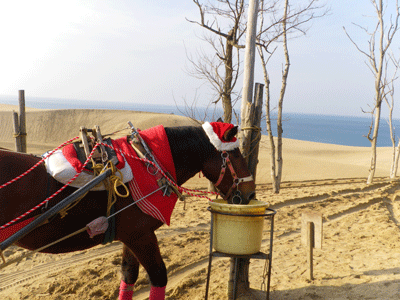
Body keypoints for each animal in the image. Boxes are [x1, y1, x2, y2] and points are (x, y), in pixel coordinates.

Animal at [0, 122, 256, 300]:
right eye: (235, 154)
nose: (249, 195)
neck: (146, 159)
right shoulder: (141, 237)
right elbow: (158, 276)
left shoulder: (134, 236)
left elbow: (128, 275)